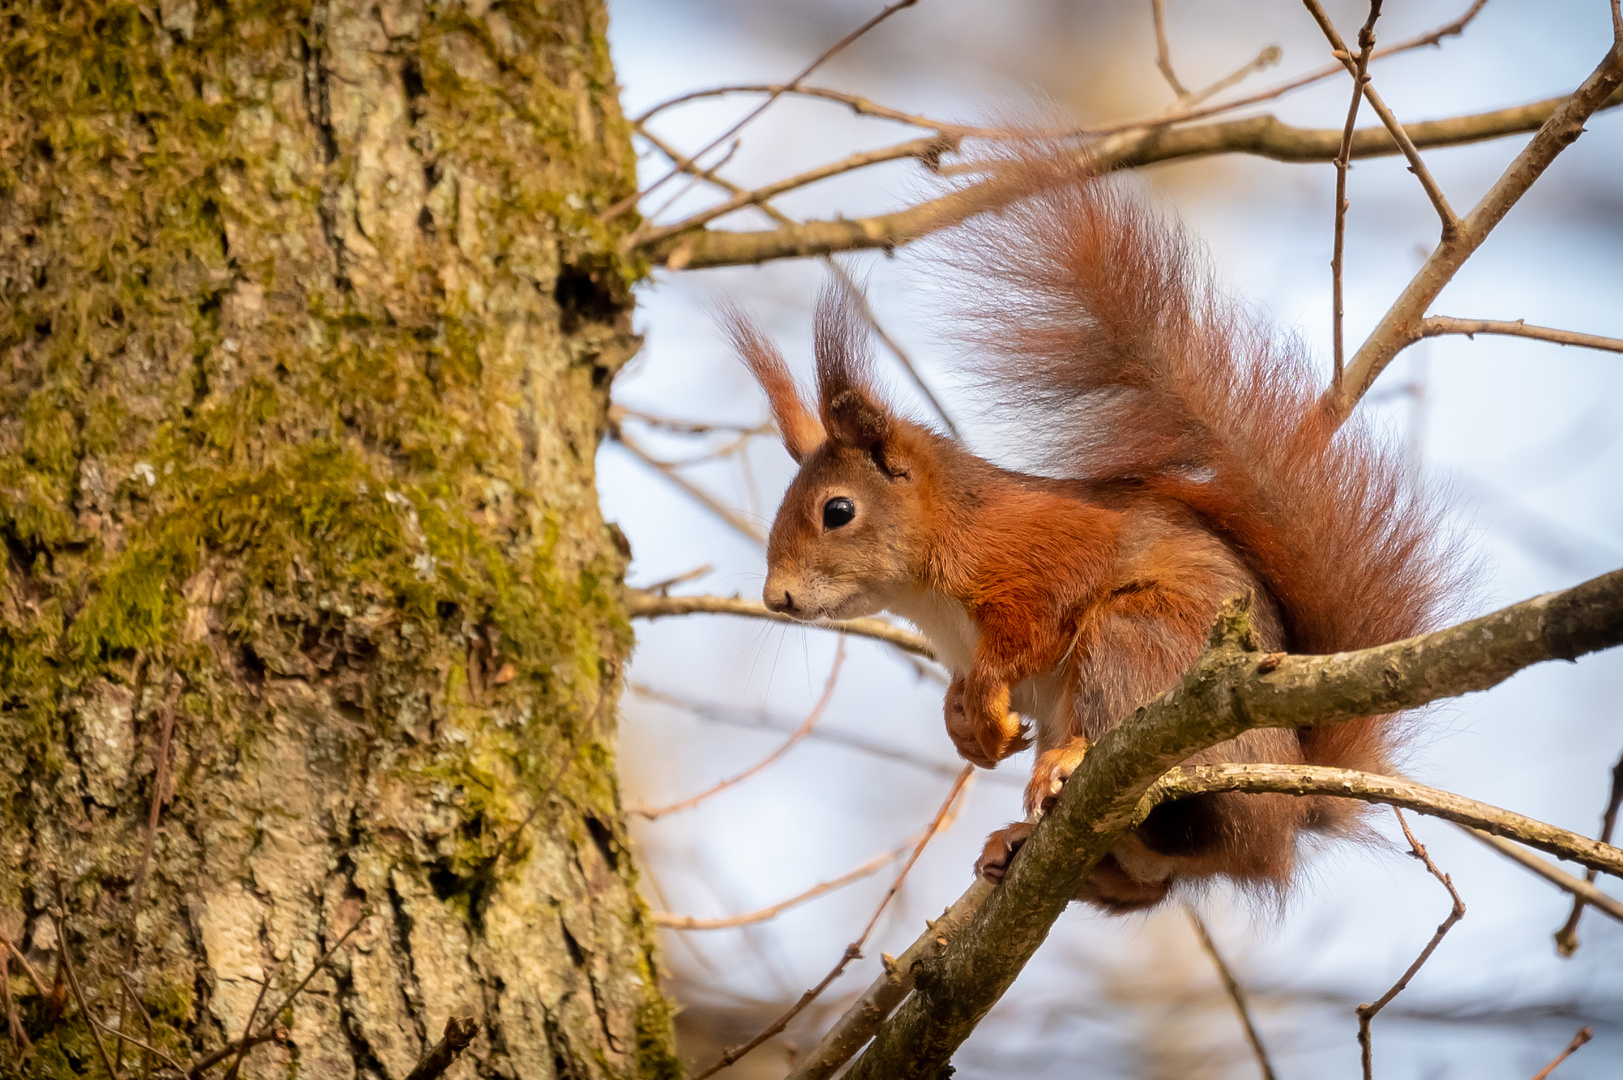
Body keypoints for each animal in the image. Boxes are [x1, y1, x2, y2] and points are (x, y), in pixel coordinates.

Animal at [723, 155, 1447, 902]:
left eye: (837, 512)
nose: (775, 597)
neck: (929, 586)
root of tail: (1288, 820)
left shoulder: (1041, 548)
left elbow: (1036, 622)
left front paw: (984, 707)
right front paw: (963, 727)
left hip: (1141, 645)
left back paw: (1070, 761)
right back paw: (1019, 841)